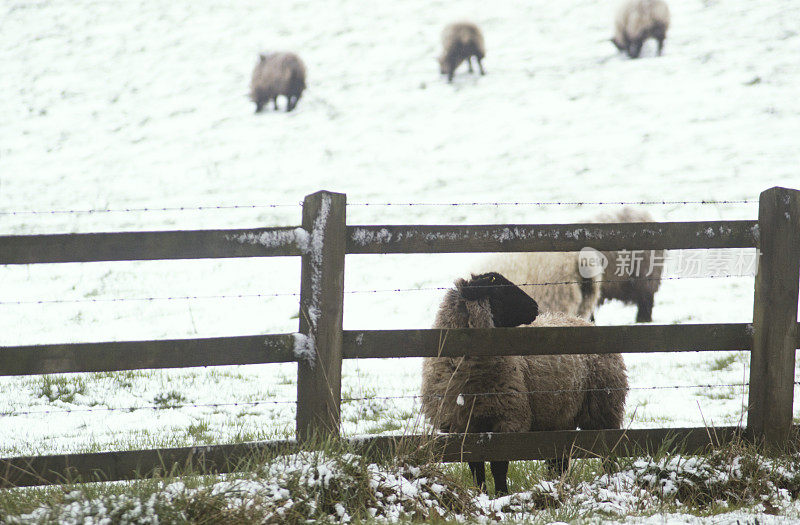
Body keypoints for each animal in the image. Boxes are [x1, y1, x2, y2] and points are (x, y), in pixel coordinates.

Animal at [422, 272, 628, 494]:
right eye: (499, 290)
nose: (535, 307)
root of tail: (581, 320)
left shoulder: (508, 420)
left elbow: (499, 466)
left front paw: (501, 494)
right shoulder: (462, 427)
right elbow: (476, 467)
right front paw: (482, 493)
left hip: (604, 408)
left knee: (608, 451)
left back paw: (610, 479)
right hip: (560, 417)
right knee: (559, 459)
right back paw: (557, 483)